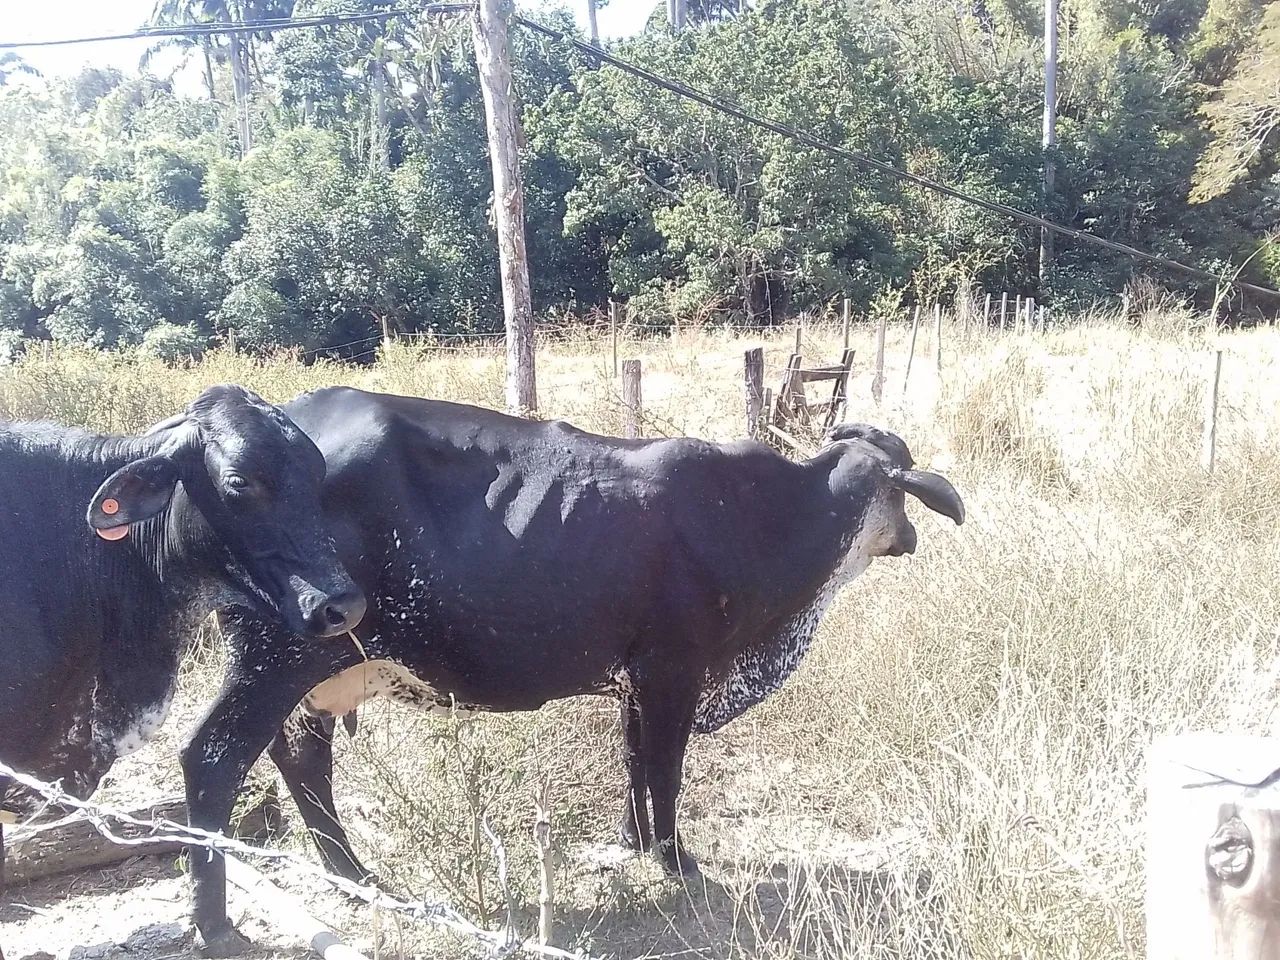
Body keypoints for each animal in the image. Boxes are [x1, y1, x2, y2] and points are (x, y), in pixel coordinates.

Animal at [179, 387, 964, 956]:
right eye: (902, 489)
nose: (913, 537)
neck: (761, 517)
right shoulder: (676, 670)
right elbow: (665, 769)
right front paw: (677, 861)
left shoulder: (635, 678)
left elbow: (634, 762)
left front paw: (632, 842)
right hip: (277, 660)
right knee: (214, 760)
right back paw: (218, 923)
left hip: (314, 674)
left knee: (301, 761)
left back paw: (353, 875)